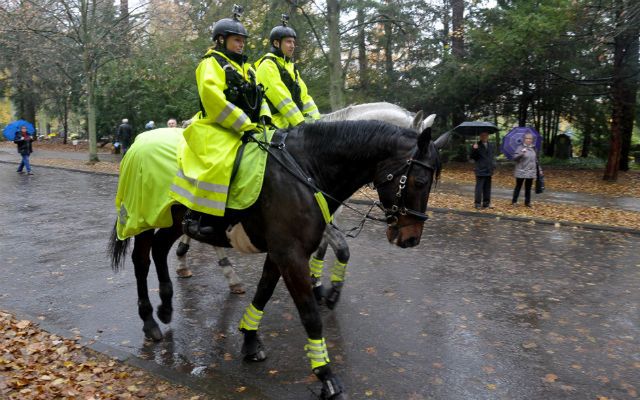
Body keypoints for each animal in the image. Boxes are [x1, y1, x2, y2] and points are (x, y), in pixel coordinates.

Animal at [107, 120, 448, 398]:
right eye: (419, 181)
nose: (410, 238)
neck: (305, 172)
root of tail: (139, 141)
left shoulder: (281, 252)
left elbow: (264, 291)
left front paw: (249, 339)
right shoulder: (290, 255)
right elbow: (310, 314)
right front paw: (325, 374)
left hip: (173, 220)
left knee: (159, 250)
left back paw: (166, 307)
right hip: (145, 217)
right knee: (141, 260)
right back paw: (149, 320)